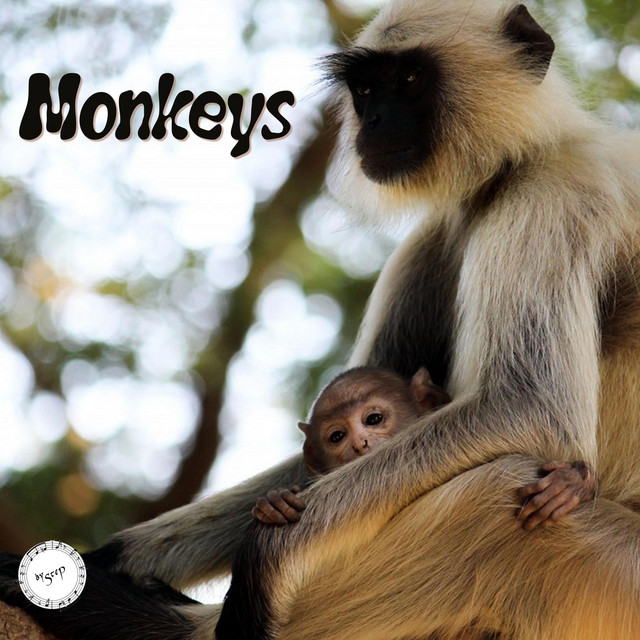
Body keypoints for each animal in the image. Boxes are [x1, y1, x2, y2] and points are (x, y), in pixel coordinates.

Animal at [2, 1, 640, 639]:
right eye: (366, 89)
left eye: (409, 77)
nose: (374, 121)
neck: (510, 168)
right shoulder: (436, 235)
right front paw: (109, 557)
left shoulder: (550, 193)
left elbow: (529, 408)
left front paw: (261, 561)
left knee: (497, 488)